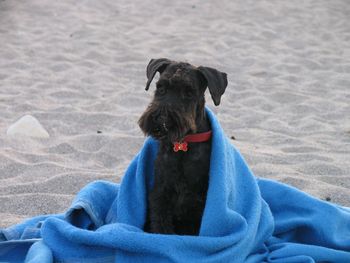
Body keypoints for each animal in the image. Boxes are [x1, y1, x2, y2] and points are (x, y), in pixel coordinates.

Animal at [138, 58, 228, 236]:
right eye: (161, 88)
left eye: (189, 92)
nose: (161, 120)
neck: (184, 143)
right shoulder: (161, 194)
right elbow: (161, 225)